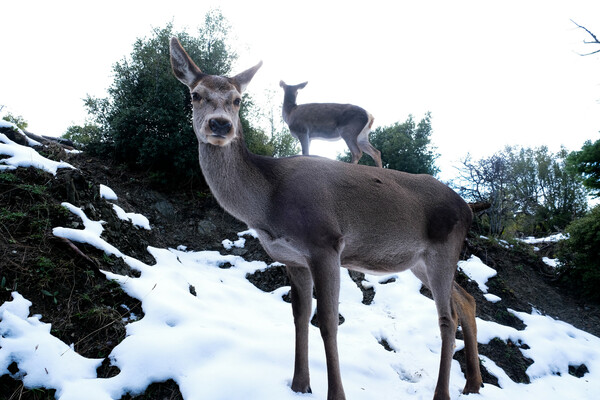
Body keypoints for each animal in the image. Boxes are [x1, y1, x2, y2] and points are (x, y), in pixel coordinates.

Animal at [169, 37, 482, 400]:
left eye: (237, 99)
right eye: (196, 94)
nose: (220, 124)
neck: (268, 205)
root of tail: (467, 208)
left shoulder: (326, 243)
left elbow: (328, 322)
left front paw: (334, 393)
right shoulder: (293, 258)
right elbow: (300, 315)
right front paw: (299, 384)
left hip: (443, 248)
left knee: (447, 318)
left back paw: (444, 392)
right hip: (420, 261)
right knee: (467, 300)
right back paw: (473, 383)